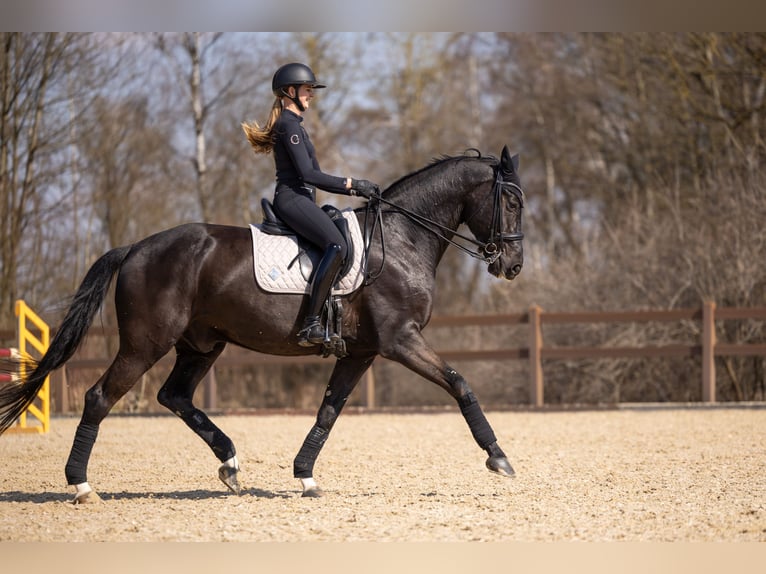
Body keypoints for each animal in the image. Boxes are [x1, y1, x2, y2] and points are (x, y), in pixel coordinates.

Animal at [0, 145, 525, 502]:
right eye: (513, 203)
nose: (513, 266)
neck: (399, 241)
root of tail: (135, 248)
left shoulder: (361, 351)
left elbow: (328, 411)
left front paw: (305, 475)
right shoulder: (401, 340)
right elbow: (459, 382)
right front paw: (498, 457)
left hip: (202, 344)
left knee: (175, 396)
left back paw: (231, 464)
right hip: (145, 343)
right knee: (100, 398)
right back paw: (81, 485)